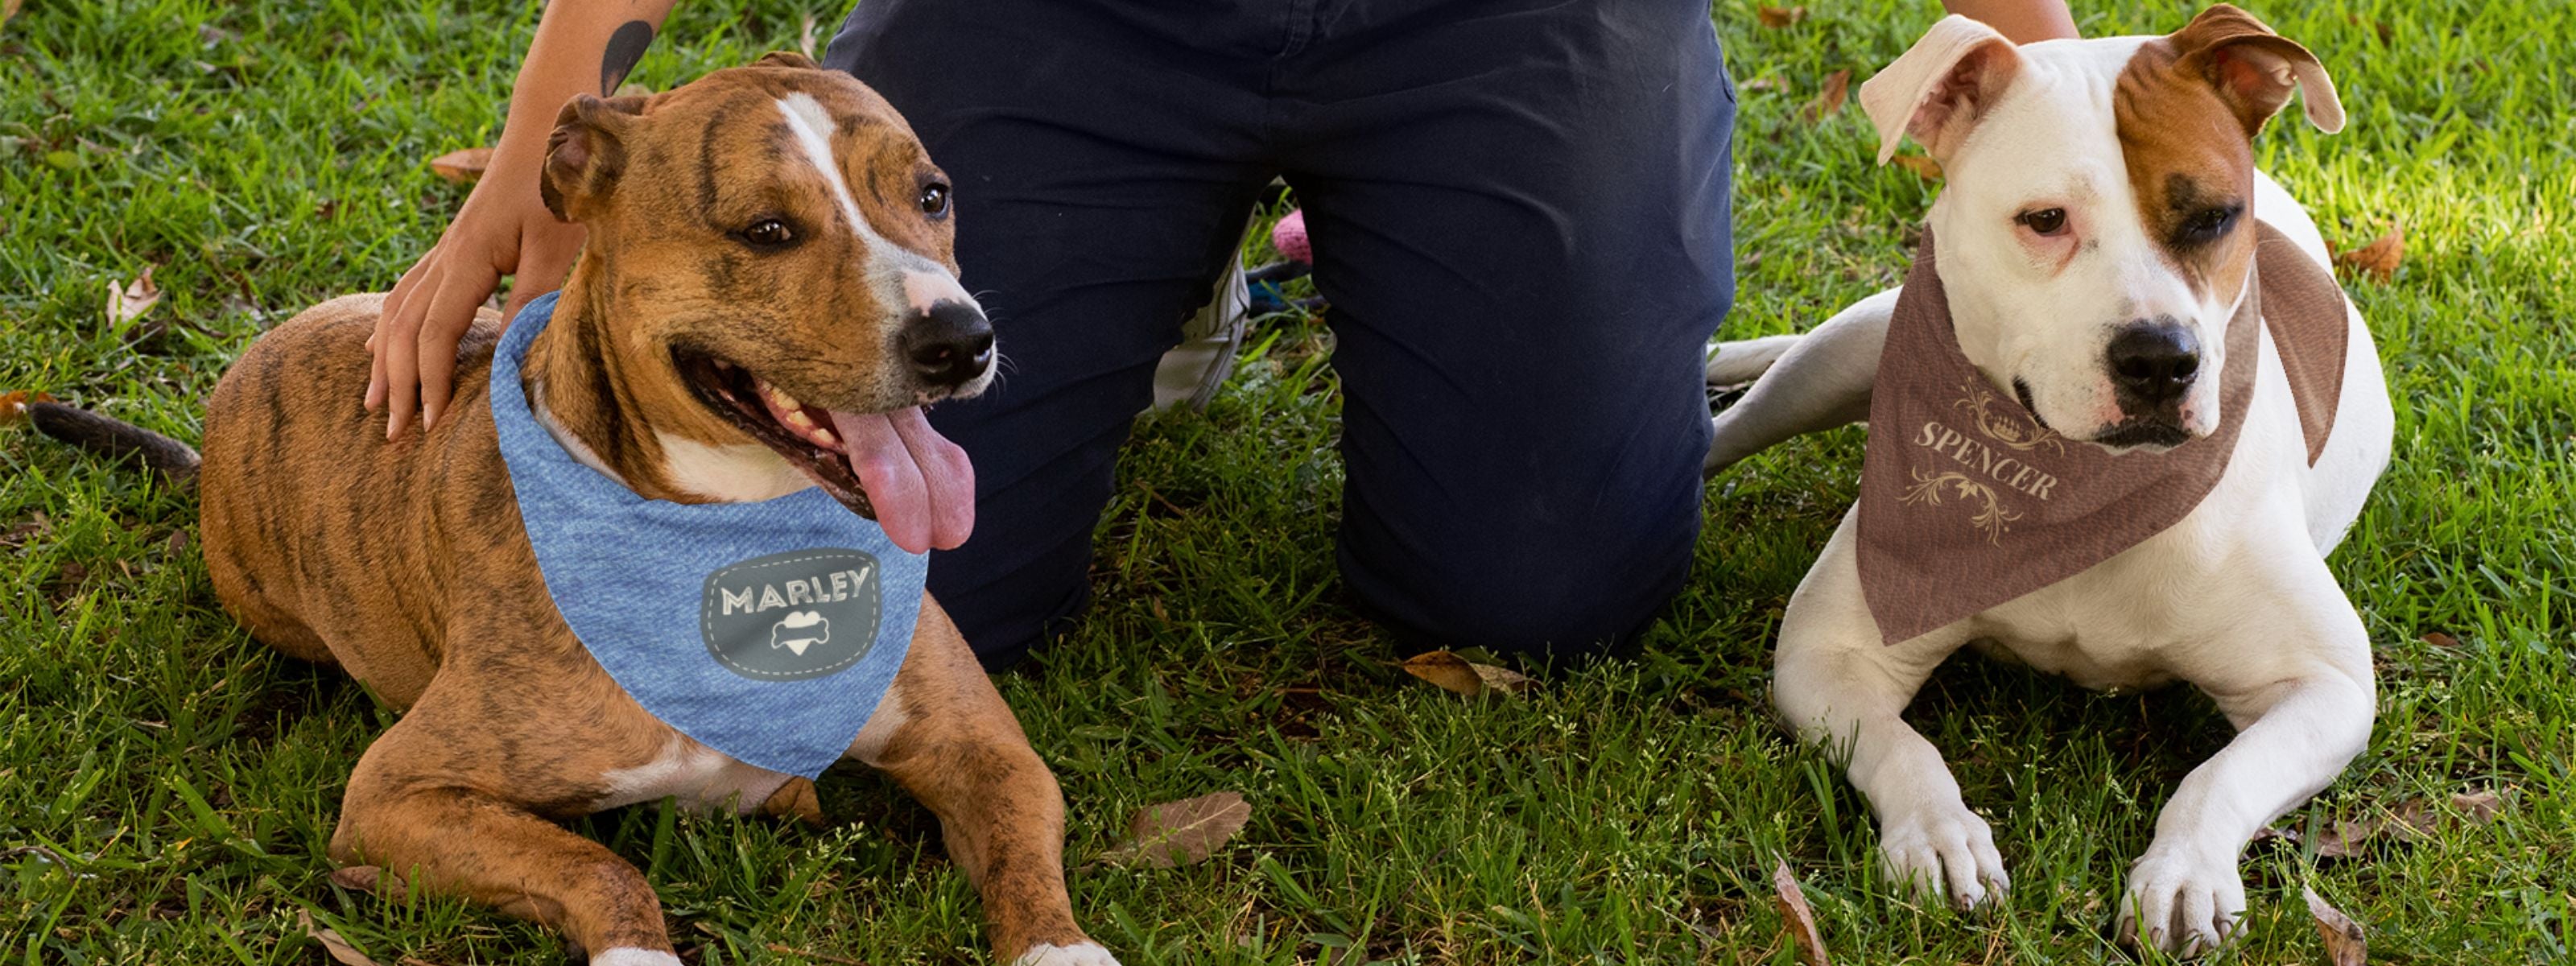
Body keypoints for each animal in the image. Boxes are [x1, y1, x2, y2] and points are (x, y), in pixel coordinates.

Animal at [1710, 3, 2390, 958]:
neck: (2079, 492)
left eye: (2215, 218)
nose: (2160, 359)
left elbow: (2222, 774)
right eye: (2043, 220)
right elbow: (1899, 745)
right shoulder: (1825, 654)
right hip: (1839, 356)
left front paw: (2185, 872)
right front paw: (1939, 834)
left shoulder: (2328, 685)